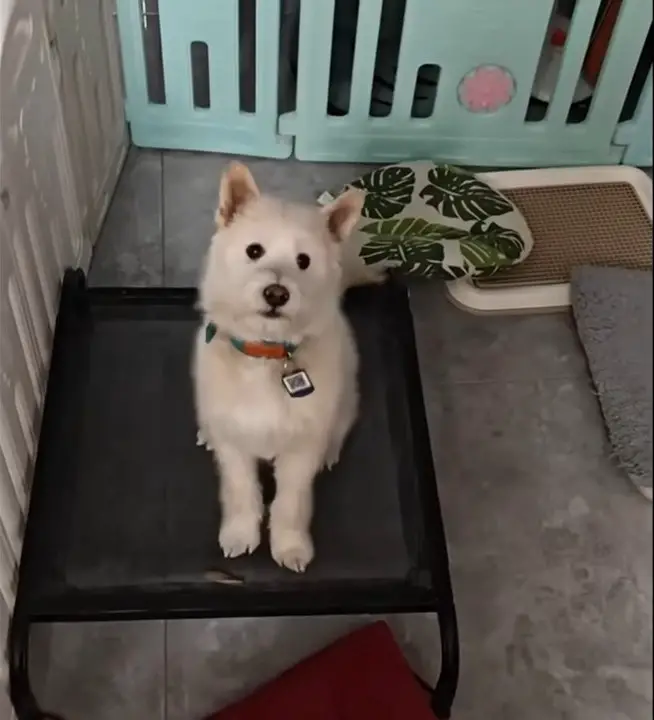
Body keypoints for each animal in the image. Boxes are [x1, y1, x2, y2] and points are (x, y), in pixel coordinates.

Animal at [192, 163, 366, 572]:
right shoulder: (235, 445)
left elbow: (291, 503)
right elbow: (241, 491)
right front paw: (240, 534)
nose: (276, 294)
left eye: (304, 261)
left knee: (339, 428)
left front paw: (290, 546)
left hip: (348, 400)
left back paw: (330, 451)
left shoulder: (299, 452)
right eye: (254, 250)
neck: (266, 355)